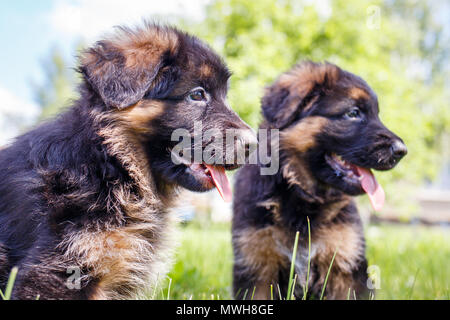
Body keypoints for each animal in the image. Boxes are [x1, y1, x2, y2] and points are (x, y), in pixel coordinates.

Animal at [232, 62, 408, 300]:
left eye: (377, 115)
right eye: (353, 113)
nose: (402, 151)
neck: (302, 195)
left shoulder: (344, 267)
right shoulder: (257, 265)